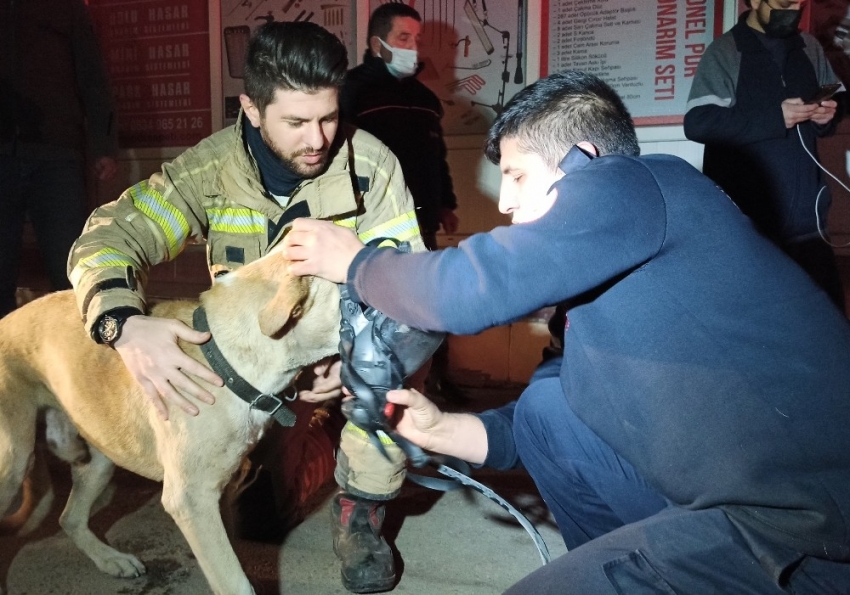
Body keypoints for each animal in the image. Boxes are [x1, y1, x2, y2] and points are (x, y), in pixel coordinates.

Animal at [0, 246, 338, 595]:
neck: (225, 358)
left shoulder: (219, 491)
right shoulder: (191, 499)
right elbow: (234, 581)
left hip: (101, 457)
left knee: (70, 518)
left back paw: (111, 560)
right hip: (14, 461)